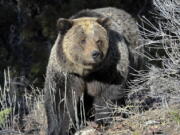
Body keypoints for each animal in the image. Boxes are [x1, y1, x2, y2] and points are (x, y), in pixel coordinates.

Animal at [44, 7, 143, 135]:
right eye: (82, 40)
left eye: (99, 40)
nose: (95, 54)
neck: (86, 72)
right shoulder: (67, 73)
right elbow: (60, 99)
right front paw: (58, 129)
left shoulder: (108, 69)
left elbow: (107, 94)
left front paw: (103, 121)